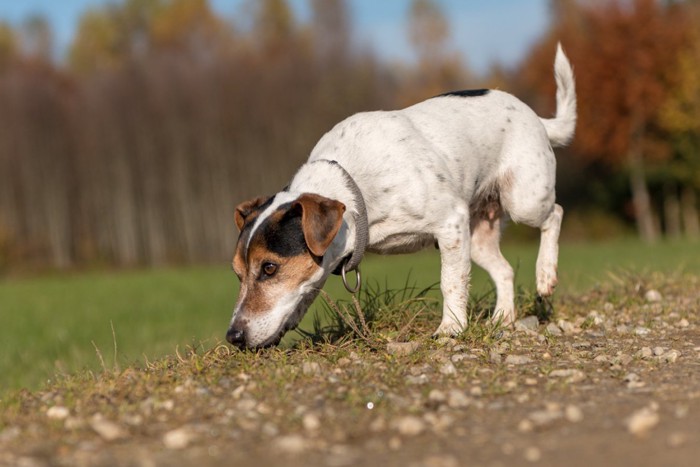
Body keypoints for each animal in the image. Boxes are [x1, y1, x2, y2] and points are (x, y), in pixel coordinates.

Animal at [227, 44, 576, 350]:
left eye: (269, 268)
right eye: (237, 273)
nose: (233, 337)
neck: (355, 189)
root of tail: (538, 119)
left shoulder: (450, 223)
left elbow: (451, 281)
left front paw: (451, 327)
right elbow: (304, 292)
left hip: (524, 200)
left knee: (556, 213)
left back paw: (546, 273)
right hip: (477, 237)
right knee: (505, 271)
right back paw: (503, 318)